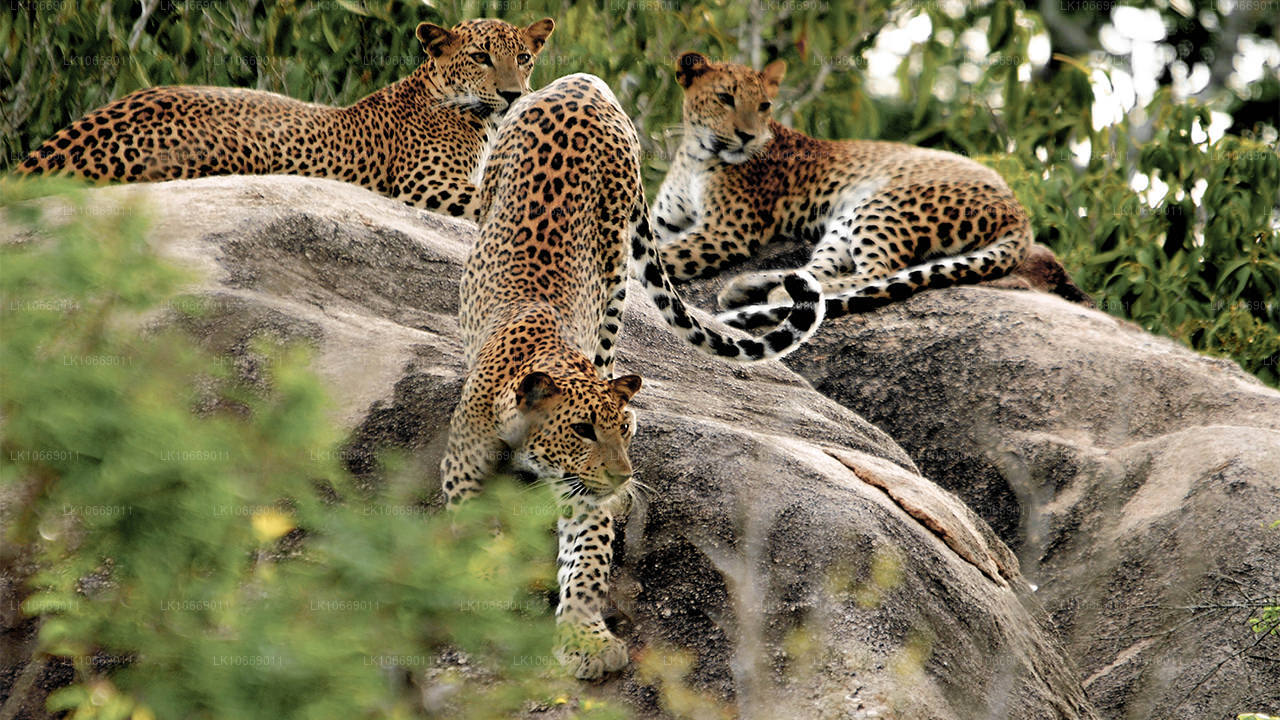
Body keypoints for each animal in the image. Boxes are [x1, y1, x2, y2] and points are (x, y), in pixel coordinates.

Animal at [440, 70, 819, 676]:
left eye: (626, 431)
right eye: (581, 431)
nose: (622, 476)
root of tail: (583, 82)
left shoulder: (582, 497)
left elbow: (586, 562)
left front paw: (586, 639)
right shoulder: (464, 470)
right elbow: (469, 534)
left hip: (615, 265)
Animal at [655, 51, 1034, 330]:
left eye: (763, 106)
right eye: (724, 98)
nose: (748, 136)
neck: (695, 154)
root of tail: (1020, 212)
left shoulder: (726, 230)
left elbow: (663, 257)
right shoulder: (663, 223)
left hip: (883, 205)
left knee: (876, 272)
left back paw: (774, 295)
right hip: (847, 217)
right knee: (816, 271)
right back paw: (746, 286)